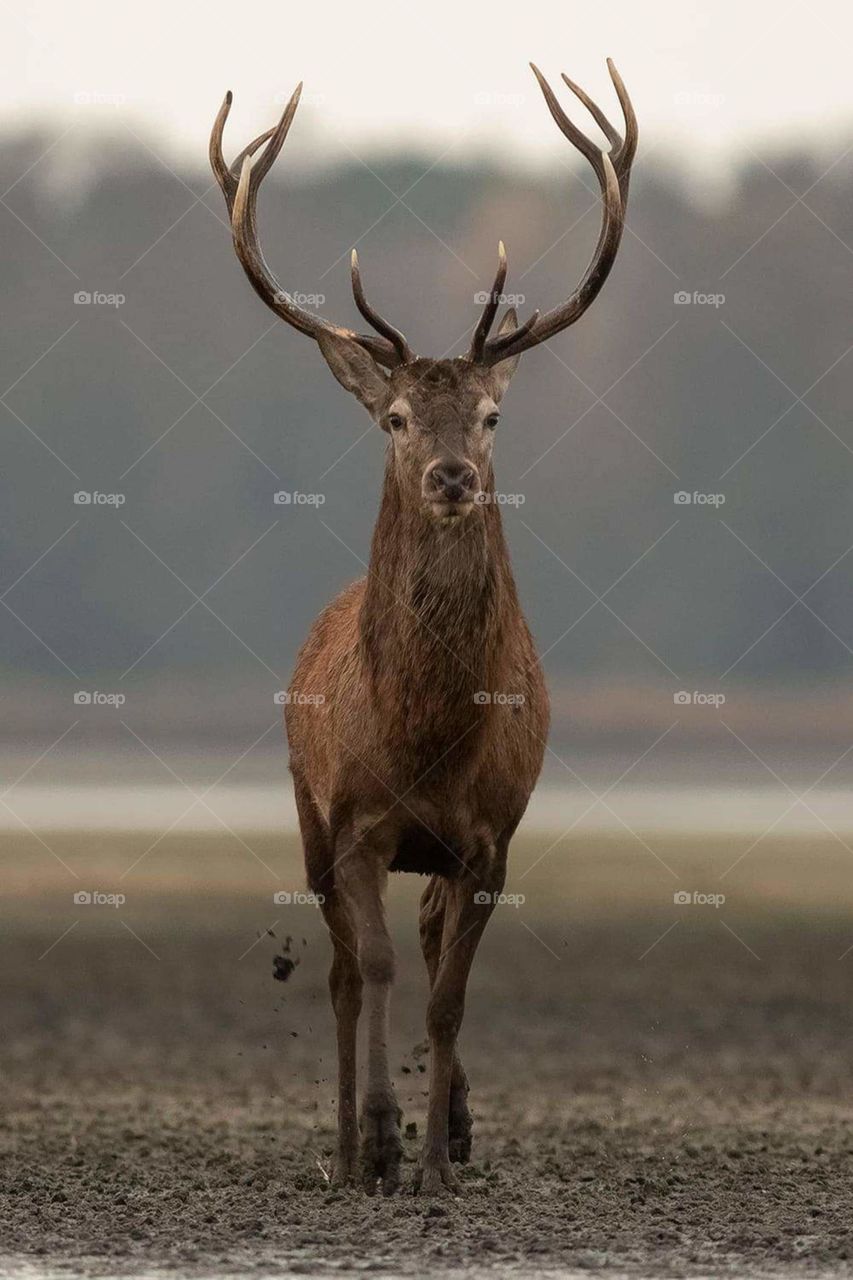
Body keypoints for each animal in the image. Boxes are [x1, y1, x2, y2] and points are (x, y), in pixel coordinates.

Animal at [210, 58, 636, 1196]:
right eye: (396, 417)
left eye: (489, 416)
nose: (451, 475)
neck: (428, 738)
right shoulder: (355, 822)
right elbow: (377, 969)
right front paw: (380, 1142)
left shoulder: (490, 839)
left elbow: (447, 992)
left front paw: (440, 1157)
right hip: (305, 813)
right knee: (340, 972)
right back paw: (346, 1144)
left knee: (429, 941)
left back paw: (455, 1123)